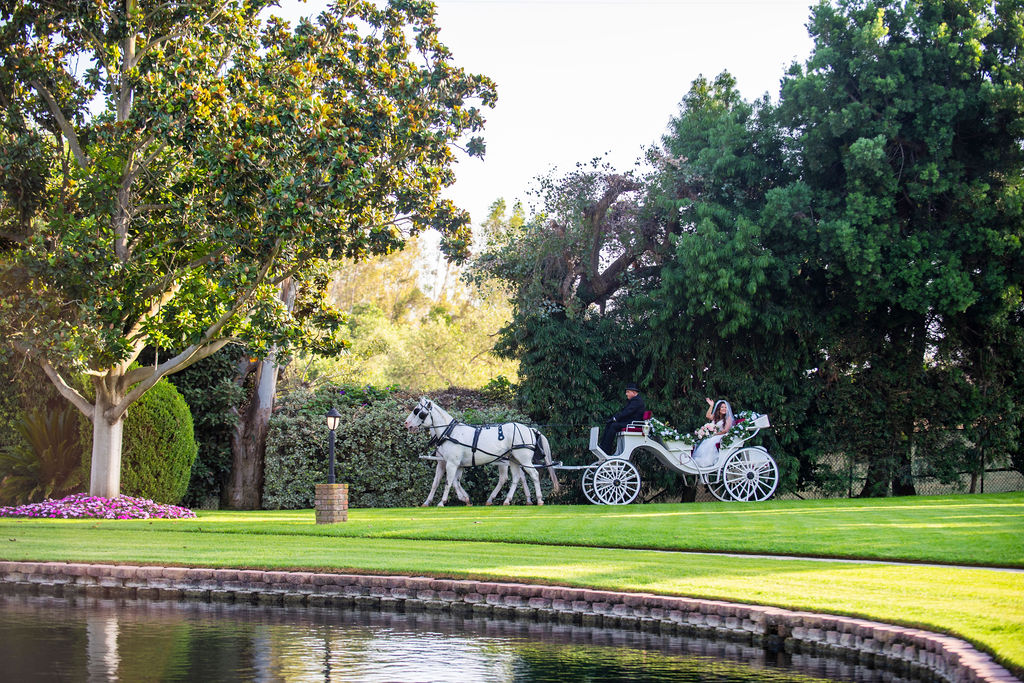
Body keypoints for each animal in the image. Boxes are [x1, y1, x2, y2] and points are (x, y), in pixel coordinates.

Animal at [404, 398, 560, 506]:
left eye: (418, 412)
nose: (406, 423)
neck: (450, 433)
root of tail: (530, 429)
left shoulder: (451, 463)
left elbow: (448, 482)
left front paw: (442, 502)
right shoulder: (455, 464)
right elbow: (450, 482)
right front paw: (465, 499)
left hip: (523, 460)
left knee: (533, 475)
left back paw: (539, 500)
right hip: (513, 459)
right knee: (516, 478)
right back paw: (507, 500)